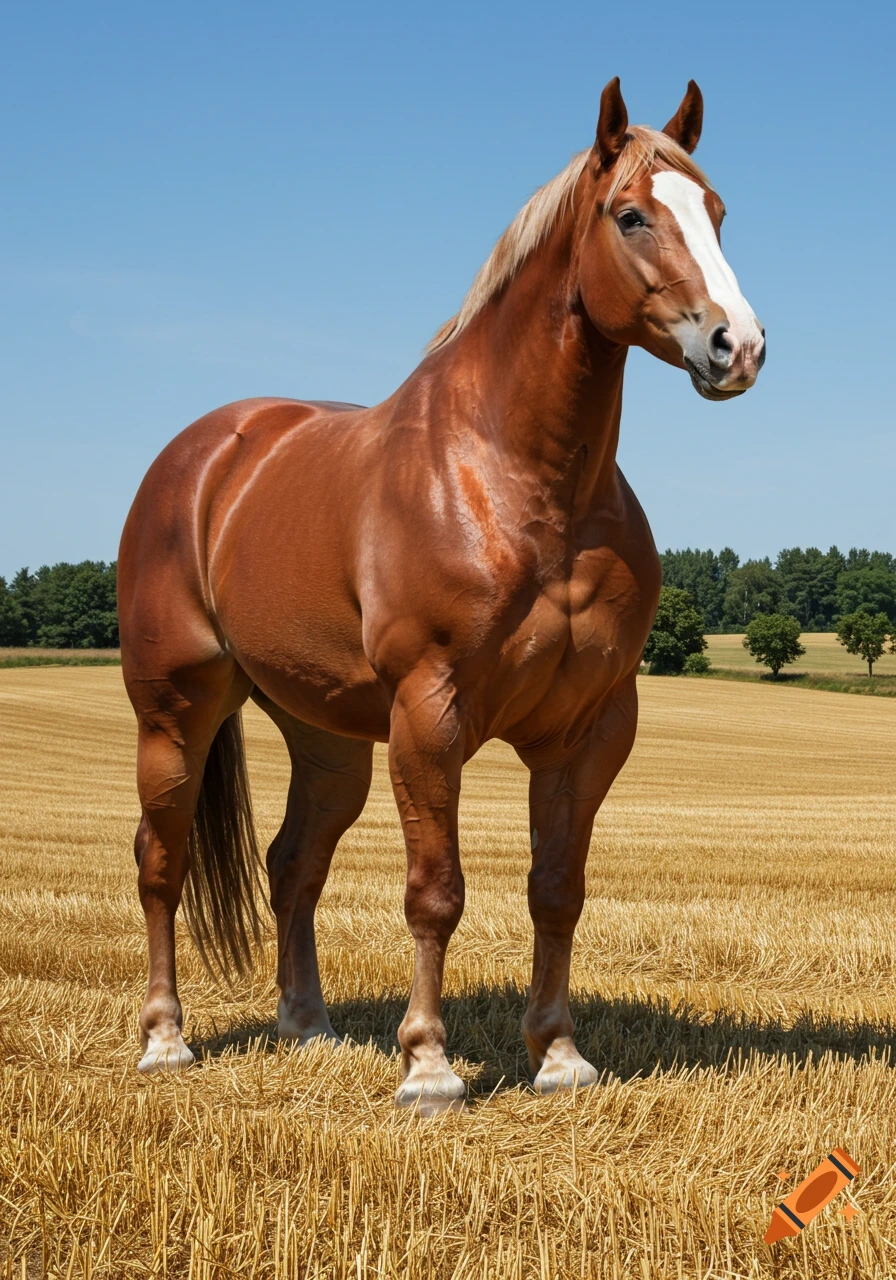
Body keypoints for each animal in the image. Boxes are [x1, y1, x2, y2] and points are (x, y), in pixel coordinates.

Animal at [119, 77, 765, 1107]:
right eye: (630, 215)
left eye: (717, 211)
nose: (736, 346)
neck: (514, 476)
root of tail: (203, 456)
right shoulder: (431, 712)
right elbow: (435, 890)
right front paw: (427, 1064)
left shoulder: (589, 728)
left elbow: (557, 889)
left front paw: (559, 1055)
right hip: (176, 714)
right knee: (160, 863)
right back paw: (165, 1039)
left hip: (328, 737)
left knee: (293, 865)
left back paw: (307, 1025)